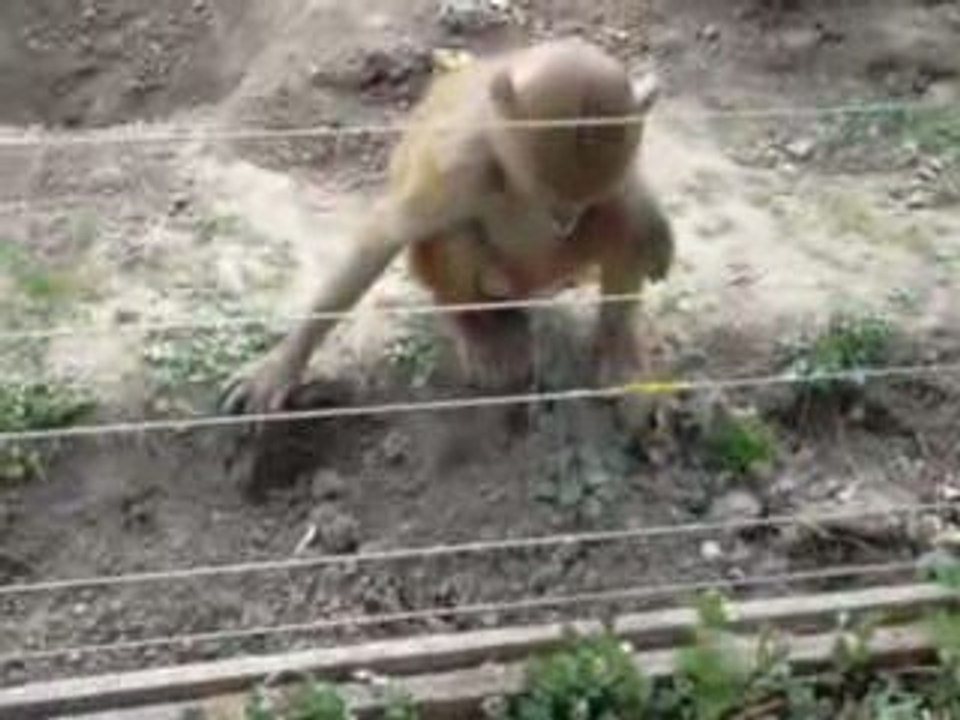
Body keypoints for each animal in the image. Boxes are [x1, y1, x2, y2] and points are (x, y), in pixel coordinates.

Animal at [221, 37, 674, 416]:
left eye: (574, 205)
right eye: (544, 195)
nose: (565, 219)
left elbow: (627, 203)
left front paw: (654, 224)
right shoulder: (462, 165)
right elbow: (384, 236)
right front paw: (282, 365)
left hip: (555, 269)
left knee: (621, 221)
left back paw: (618, 351)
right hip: (496, 279)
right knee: (455, 236)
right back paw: (476, 328)